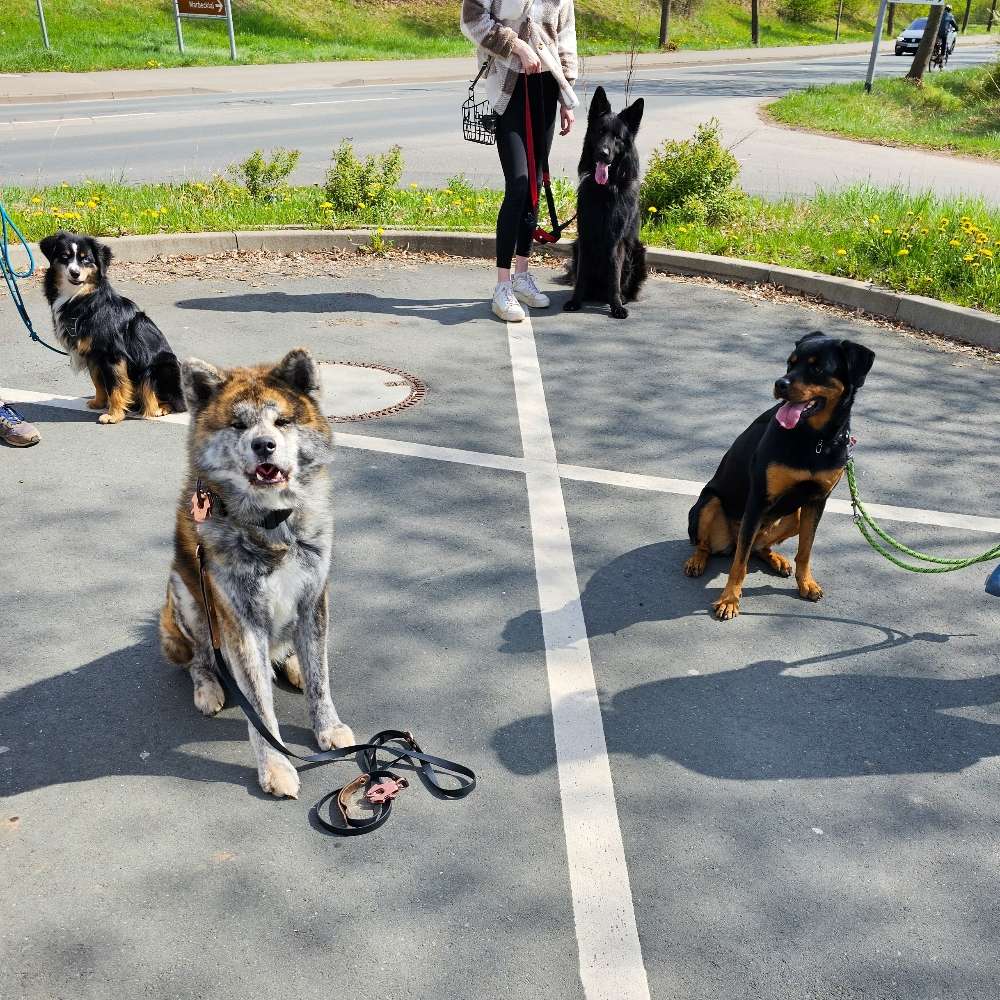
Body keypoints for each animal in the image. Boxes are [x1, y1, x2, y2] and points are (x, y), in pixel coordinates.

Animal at [39, 229, 187, 422]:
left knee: (172, 400)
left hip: (162, 368)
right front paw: (99, 403)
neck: (79, 297)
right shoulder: (94, 355)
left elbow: (116, 385)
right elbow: (98, 382)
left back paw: (158, 408)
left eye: (86, 259)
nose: (74, 273)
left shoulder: (112, 354)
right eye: (65, 257)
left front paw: (113, 415)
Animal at [160, 348, 356, 800]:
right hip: (185, 595)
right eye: (238, 424)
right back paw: (208, 686)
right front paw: (276, 767)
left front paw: (328, 726)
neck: (272, 524)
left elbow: (321, 677)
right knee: (199, 657)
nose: (264, 445)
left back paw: (292, 663)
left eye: (281, 421)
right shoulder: (241, 622)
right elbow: (261, 713)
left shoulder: (313, 600)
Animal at [564, 87, 648, 320]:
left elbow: (614, 277)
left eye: (617, 137)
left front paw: (616, 305)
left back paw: (623, 298)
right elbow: (582, 275)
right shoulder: (585, 238)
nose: (603, 153)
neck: (605, 190)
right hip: (576, 247)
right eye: (600, 132)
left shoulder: (616, 241)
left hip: (638, 251)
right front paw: (576, 301)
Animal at [688, 332, 876, 620]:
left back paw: (776, 559)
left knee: (757, 547)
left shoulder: (816, 501)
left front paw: (806, 583)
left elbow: (805, 550)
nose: (780, 383)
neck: (814, 439)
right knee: (711, 544)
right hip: (710, 503)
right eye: (790, 363)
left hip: (794, 515)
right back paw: (697, 560)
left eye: (817, 368)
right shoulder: (758, 499)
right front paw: (729, 599)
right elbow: (739, 564)